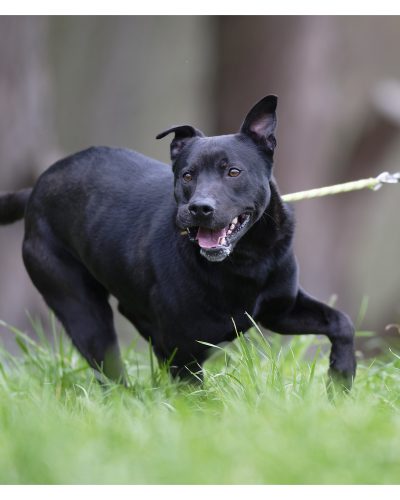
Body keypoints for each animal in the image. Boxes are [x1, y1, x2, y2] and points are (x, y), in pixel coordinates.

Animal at [0, 95, 356, 388]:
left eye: (233, 172)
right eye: (187, 175)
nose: (199, 208)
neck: (245, 259)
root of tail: (36, 189)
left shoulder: (281, 310)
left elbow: (342, 322)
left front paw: (341, 378)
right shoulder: (183, 349)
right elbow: (196, 399)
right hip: (83, 312)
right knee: (112, 376)